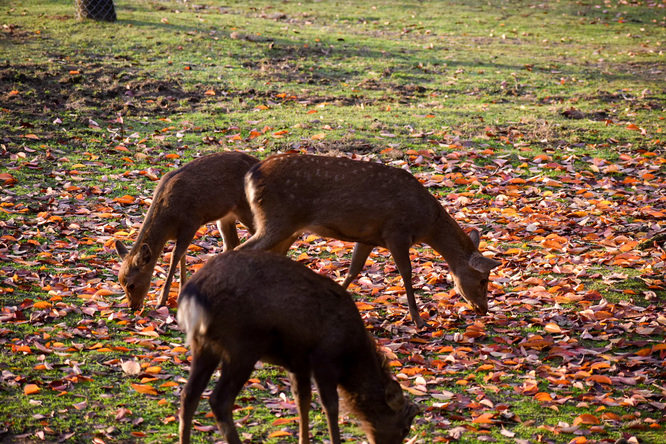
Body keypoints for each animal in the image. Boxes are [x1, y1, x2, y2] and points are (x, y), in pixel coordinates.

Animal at [114, 151, 260, 310]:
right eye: (120, 283)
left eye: (131, 285)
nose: (132, 306)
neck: (169, 223)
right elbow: (182, 255)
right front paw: (180, 291)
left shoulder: (191, 222)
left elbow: (175, 255)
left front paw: (161, 301)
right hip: (226, 216)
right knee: (232, 244)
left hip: (247, 208)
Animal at [174, 250, 418, 444]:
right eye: (404, 428)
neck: (351, 356)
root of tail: (193, 297)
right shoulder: (324, 359)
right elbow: (330, 406)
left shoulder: (297, 364)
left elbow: (303, 401)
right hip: (241, 347)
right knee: (219, 401)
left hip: (203, 346)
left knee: (188, 395)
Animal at [239, 154, 498, 328]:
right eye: (484, 280)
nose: (484, 309)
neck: (427, 224)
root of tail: (251, 175)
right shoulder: (396, 232)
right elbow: (406, 273)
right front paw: (418, 320)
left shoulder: (367, 237)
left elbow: (354, 270)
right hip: (277, 220)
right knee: (242, 249)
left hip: (286, 227)